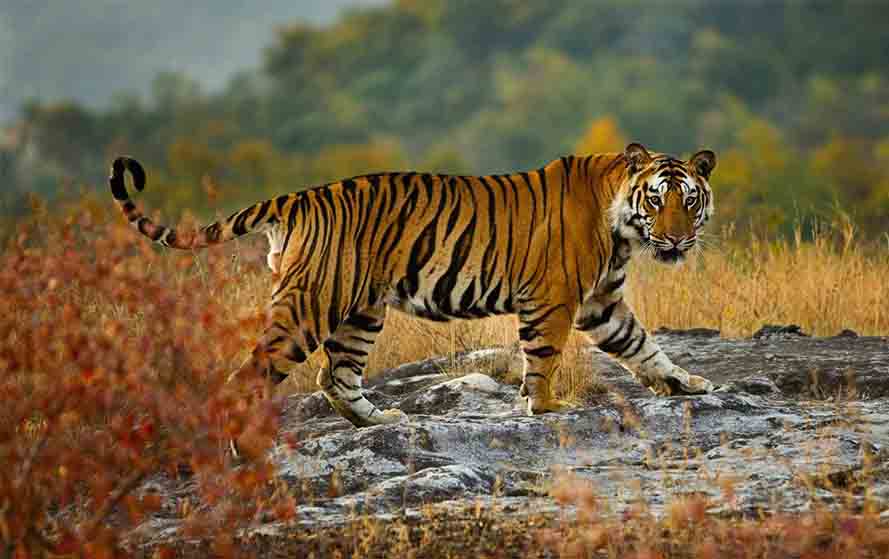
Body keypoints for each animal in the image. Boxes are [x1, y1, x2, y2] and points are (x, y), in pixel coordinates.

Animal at [109, 142, 717, 428]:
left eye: (689, 201)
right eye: (656, 200)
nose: (677, 239)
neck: (622, 228)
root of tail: (298, 196)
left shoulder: (600, 302)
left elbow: (643, 346)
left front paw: (686, 383)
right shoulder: (555, 299)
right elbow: (543, 357)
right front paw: (544, 407)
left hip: (359, 310)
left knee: (335, 376)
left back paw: (381, 419)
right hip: (311, 304)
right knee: (251, 375)